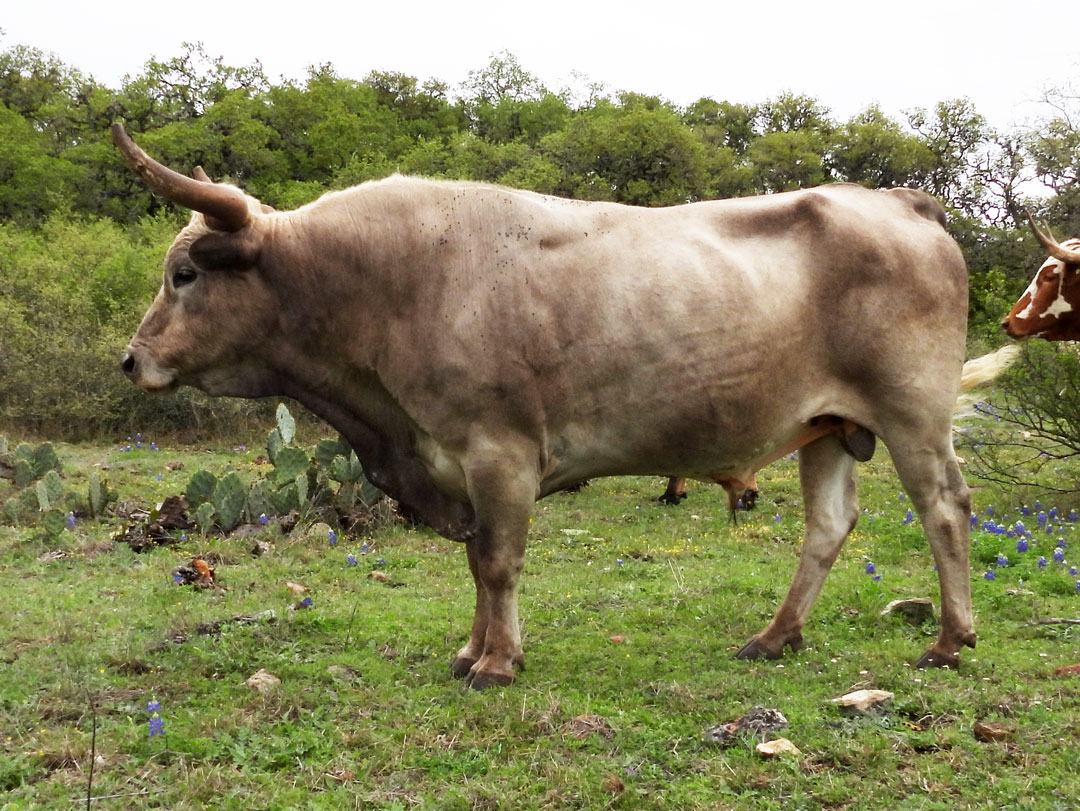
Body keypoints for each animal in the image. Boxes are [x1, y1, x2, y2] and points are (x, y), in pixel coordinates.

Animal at [116, 123, 989, 686]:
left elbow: (497, 561)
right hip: (829, 428)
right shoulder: (458, 462)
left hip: (912, 413)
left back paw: (950, 641)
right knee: (828, 527)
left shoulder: (498, 452)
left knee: (944, 508)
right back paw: (775, 637)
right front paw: (472, 652)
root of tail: (901, 202)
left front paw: (497, 663)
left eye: (185, 273)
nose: (131, 358)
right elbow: (477, 562)